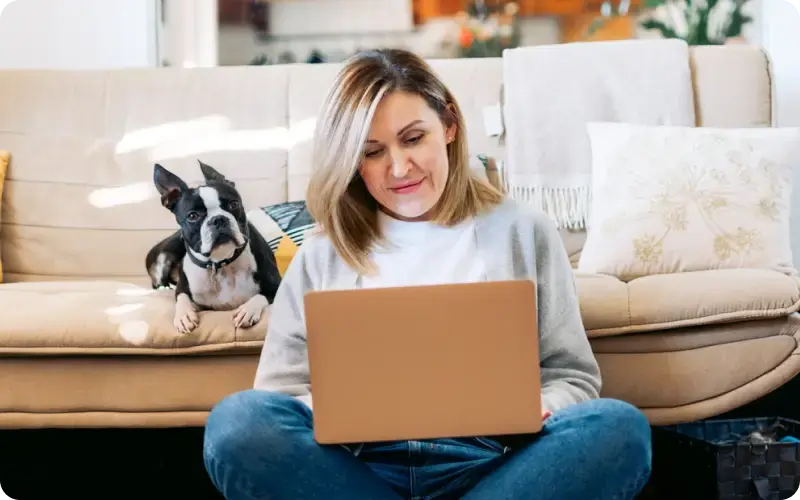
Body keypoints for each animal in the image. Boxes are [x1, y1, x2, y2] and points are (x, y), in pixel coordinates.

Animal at [148, 160, 282, 334]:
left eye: (234, 204)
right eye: (193, 216)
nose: (219, 219)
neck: (220, 263)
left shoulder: (276, 285)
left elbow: (260, 296)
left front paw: (247, 310)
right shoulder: (183, 289)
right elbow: (181, 297)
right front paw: (184, 315)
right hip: (164, 257)